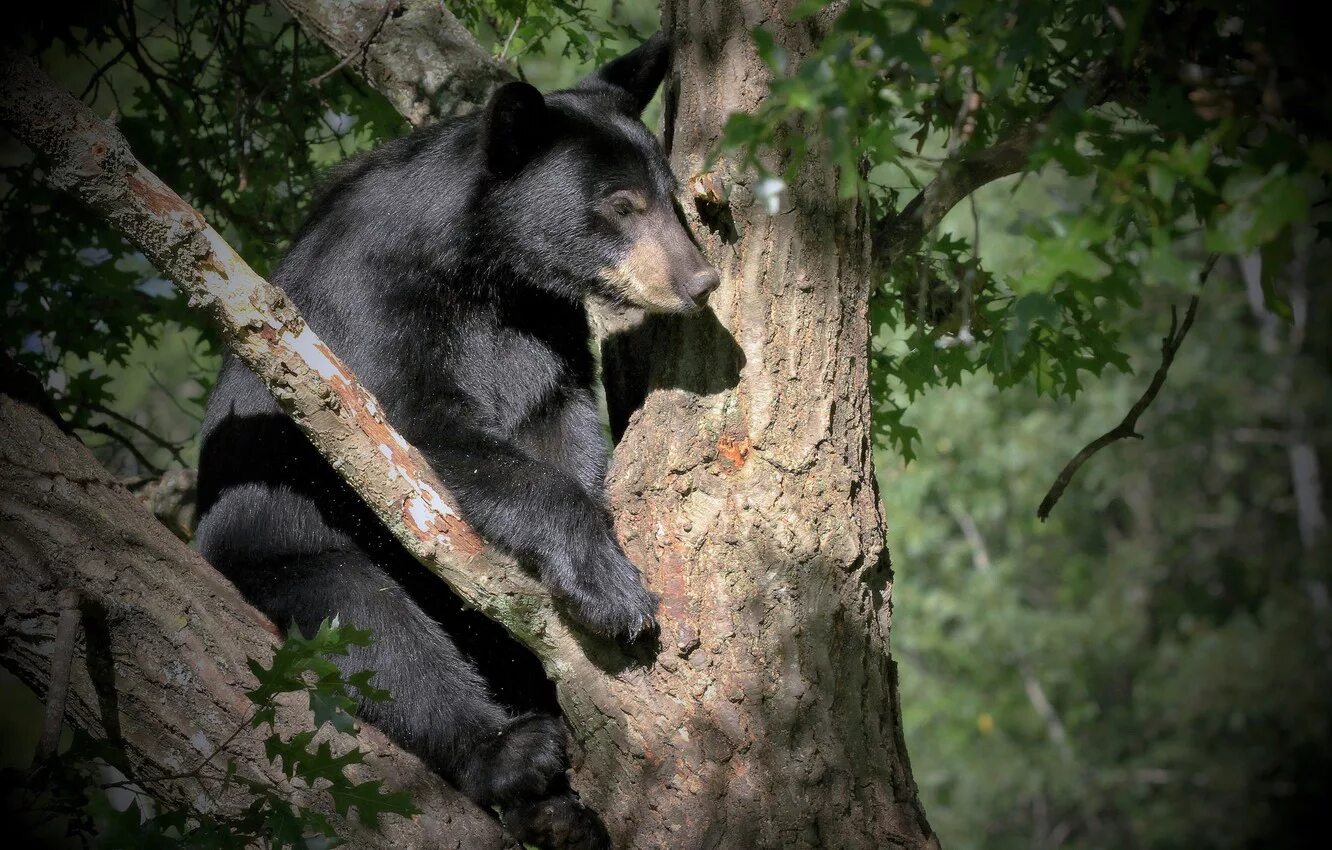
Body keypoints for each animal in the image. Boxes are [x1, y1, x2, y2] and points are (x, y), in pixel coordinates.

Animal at [194, 33, 719, 850]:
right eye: (620, 203)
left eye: (671, 196)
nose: (700, 281)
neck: (485, 267)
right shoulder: (368, 302)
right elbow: (419, 430)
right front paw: (614, 590)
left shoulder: (542, 326)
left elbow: (559, 422)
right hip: (274, 549)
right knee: (374, 631)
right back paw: (515, 756)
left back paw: (556, 809)